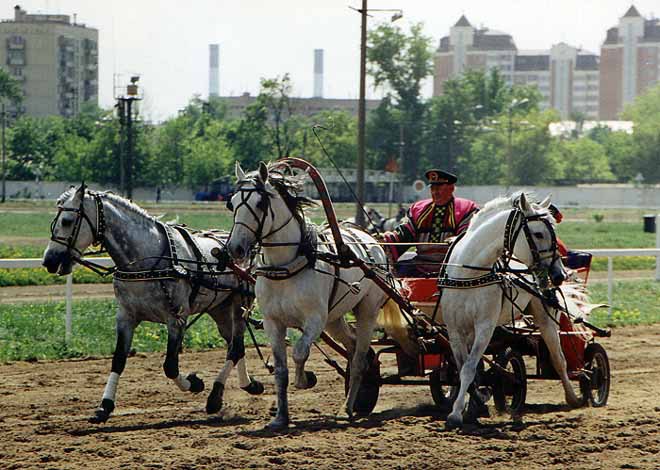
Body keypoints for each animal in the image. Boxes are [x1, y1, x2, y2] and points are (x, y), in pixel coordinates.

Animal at [42, 185, 266, 424]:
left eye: (67, 221)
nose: (49, 260)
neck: (147, 259)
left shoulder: (177, 318)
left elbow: (170, 366)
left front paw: (194, 383)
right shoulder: (126, 317)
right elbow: (118, 360)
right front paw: (105, 406)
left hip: (239, 304)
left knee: (236, 347)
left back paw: (215, 396)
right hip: (219, 309)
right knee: (235, 345)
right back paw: (248, 385)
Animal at [224, 162, 400, 430]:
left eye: (260, 204)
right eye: (231, 203)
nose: (235, 248)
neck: (286, 268)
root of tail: (372, 240)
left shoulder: (315, 320)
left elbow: (299, 352)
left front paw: (304, 379)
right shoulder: (273, 322)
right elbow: (281, 370)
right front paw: (280, 417)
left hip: (366, 311)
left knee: (359, 358)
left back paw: (347, 408)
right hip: (334, 320)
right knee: (351, 347)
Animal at [440, 192, 580, 430]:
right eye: (538, 233)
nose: (559, 274)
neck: (468, 275)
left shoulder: (484, 327)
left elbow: (469, 368)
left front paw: (457, 413)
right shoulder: (455, 330)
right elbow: (463, 368)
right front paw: (473, 403)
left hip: (545, 319)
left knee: (559, 358)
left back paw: (572, 397)